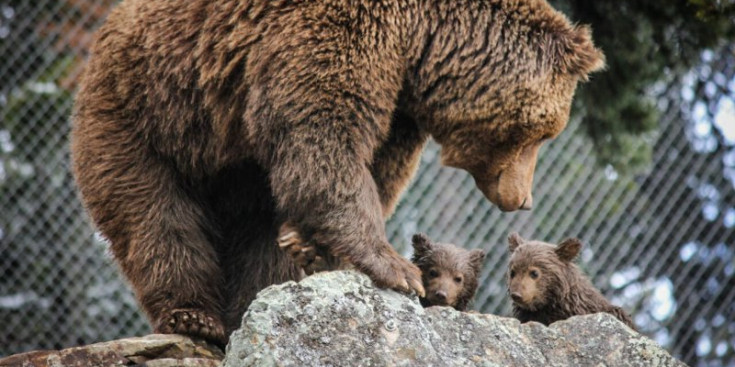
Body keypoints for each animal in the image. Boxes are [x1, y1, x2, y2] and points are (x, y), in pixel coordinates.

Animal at [72, 0, 604, 344]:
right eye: (543, 133)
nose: (523, 198)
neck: (423, 37)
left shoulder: (399, 97)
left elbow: (374, 164)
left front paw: (308, 245)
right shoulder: (333, 38)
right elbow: (325, 135)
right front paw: (398, 268)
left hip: (230, 153)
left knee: (254, 225)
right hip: (148, 106)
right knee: (154, 213)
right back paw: (194, 317)